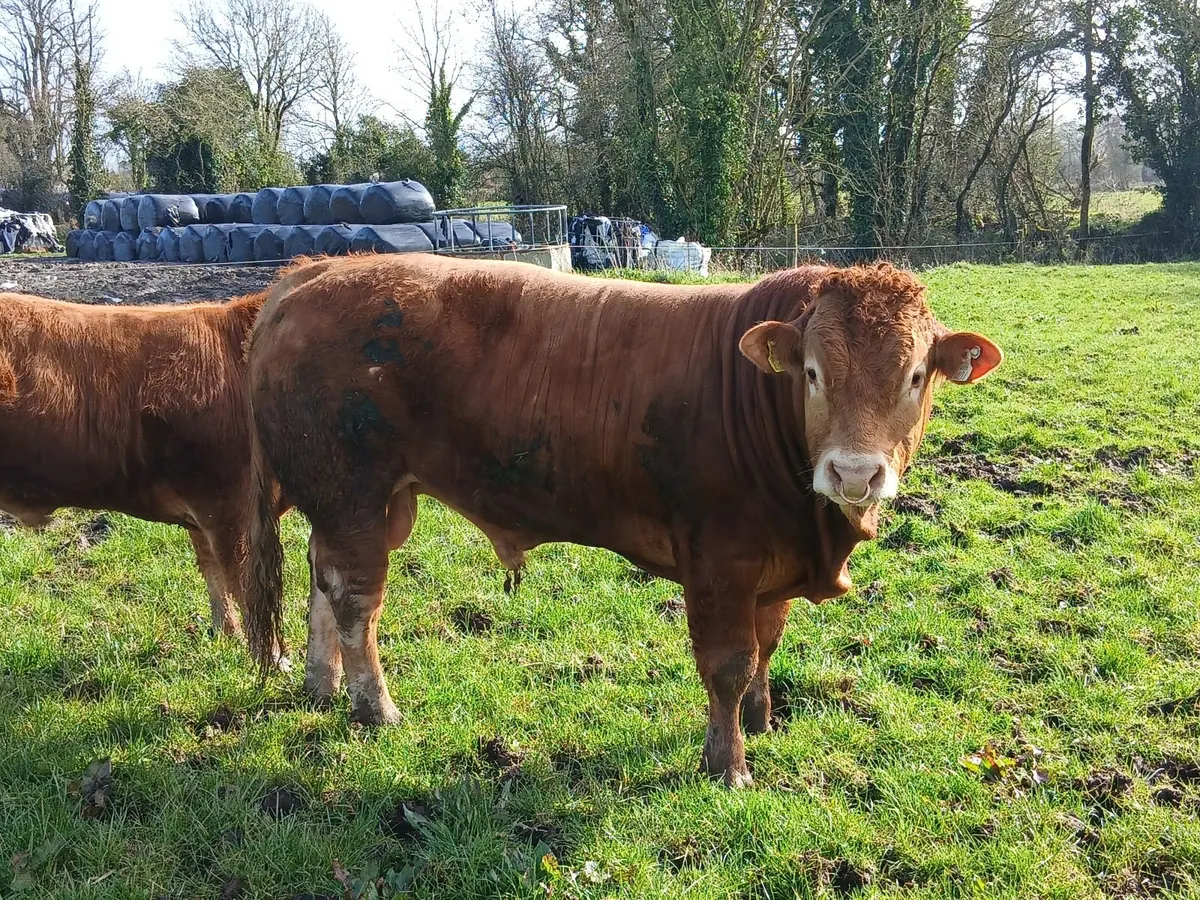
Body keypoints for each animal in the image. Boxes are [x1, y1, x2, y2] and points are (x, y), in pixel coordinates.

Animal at [0, 289, 287, 648]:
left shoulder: (204, 511)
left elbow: (213, 576)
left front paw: (226, 635)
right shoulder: (230, 509)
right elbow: (249, 594)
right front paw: (276, 657)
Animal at [243, 254, 1002, 787]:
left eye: (915, 376)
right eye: (813, 373)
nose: (853, 473)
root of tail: (313, 272)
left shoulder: (773, 561)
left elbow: (767, 644)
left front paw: (762, 721)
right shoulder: (720, 560)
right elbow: (728, 663)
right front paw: (728, 763)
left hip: (355, 502)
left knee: (322, 580)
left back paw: (322, 685)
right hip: (353, 492)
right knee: (355, 599)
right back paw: (374, 707)